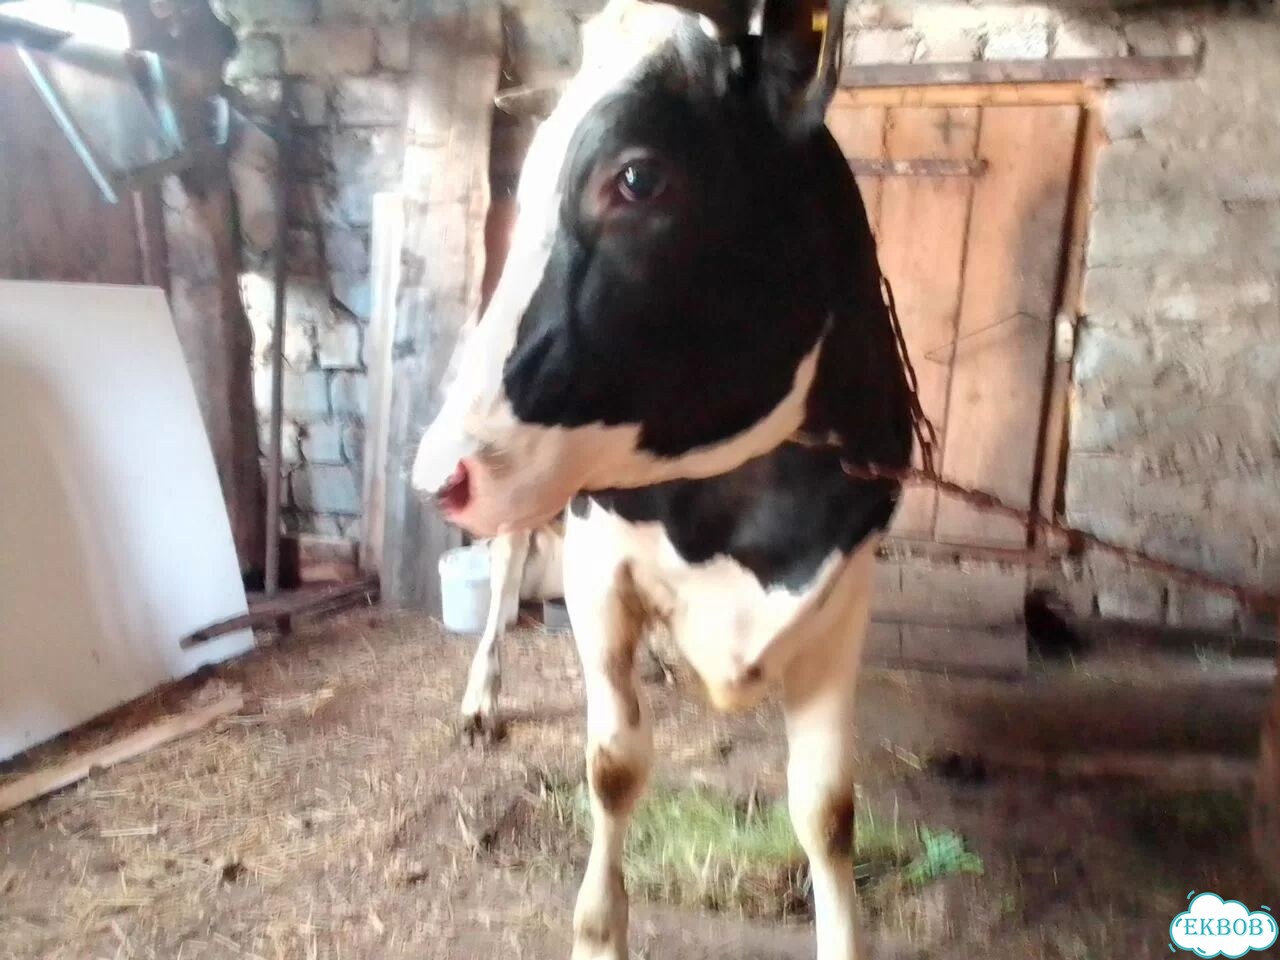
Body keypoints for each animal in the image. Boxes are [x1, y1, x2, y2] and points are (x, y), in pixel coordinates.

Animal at [414, 2, 913, 958]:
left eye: (638, 179)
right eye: (533, 174)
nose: (432, 478)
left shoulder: (845, 583)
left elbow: (827, 809)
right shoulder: (598, 563)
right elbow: (612, 767)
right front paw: (598, 930)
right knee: (505, 570)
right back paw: (482, 698)